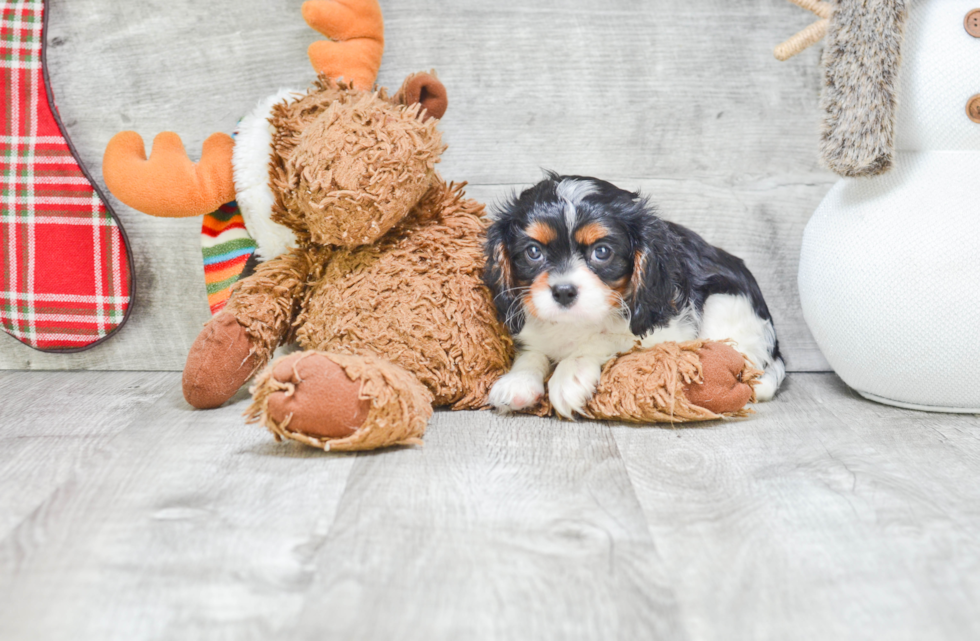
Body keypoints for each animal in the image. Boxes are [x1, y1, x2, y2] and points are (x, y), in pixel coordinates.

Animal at [486, 172, 784, 418]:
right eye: (533, 252)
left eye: (602, 252)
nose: (563, 291)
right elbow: (533, 350)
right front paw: (519, 381)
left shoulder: (665, 332)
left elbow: (606, 339)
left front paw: (570, 373)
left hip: (726, 305)